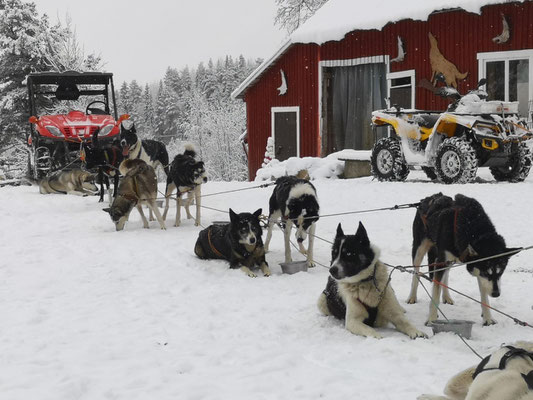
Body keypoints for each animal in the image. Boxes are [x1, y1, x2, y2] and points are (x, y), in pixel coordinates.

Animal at [408, 192, 516, 326]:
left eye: (501, 273)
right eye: (486, 272)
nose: (496, 294)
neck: (469, 225)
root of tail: (428, 198)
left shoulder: (476, 267)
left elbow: (484, 298)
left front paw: (488, 318)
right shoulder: (443, 262)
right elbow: (435, 294)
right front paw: (432, 319)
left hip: (447, 260)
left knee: (445, 276)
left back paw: (446, 296)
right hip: (419, 250)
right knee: (416, 273)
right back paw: (412, 297)